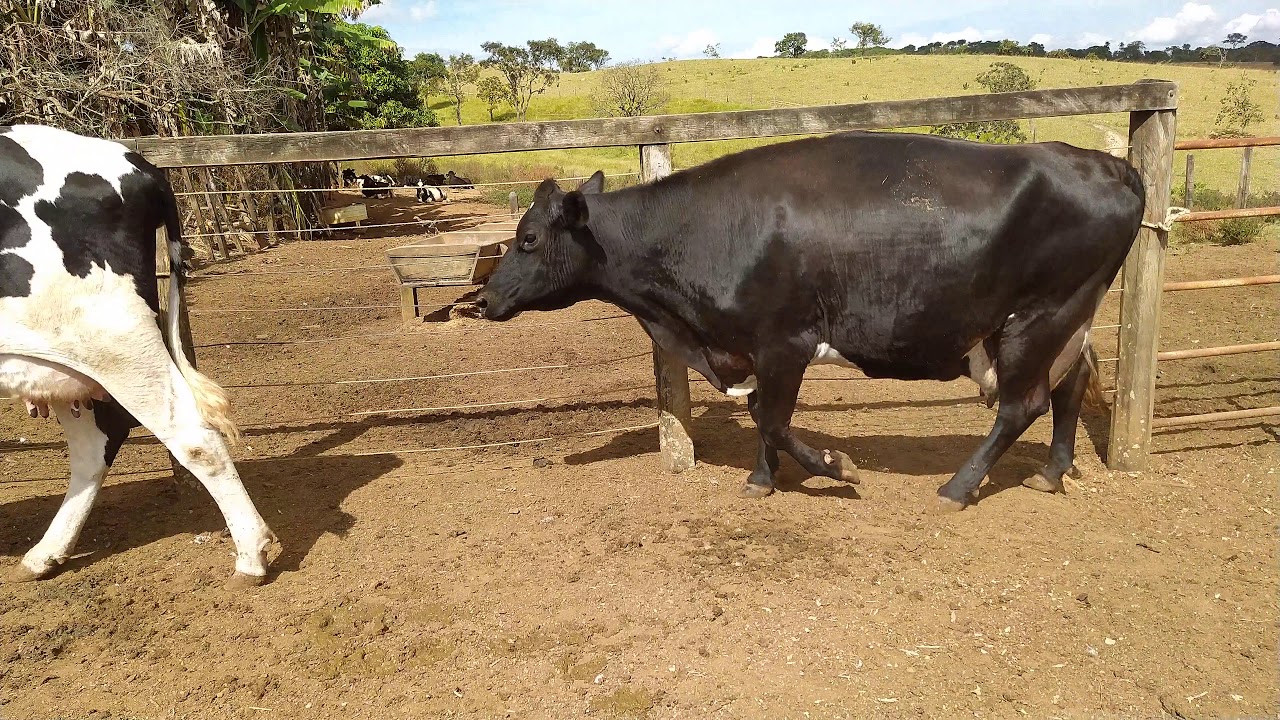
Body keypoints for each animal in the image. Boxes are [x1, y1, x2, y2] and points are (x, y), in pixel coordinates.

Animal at [0, 125, 275, 587]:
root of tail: (138, 162)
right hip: (67, 364)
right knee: (96, 445)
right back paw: (43, 556)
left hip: (112, 338)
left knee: (191, 436)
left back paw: (250, 557)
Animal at [475, 131, 1145, 511]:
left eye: (528, 238)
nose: (484, 299)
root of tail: (1105, 164)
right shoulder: (753, 349)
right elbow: (760, 417)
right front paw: (762, 480)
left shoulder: (783, 342)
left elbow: (772, 420)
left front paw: (832, 467)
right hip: (1066, 320)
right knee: (1072, 384)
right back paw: (1052, 473)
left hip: (1037, 318)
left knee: (1021, 404)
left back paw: (958, 488)